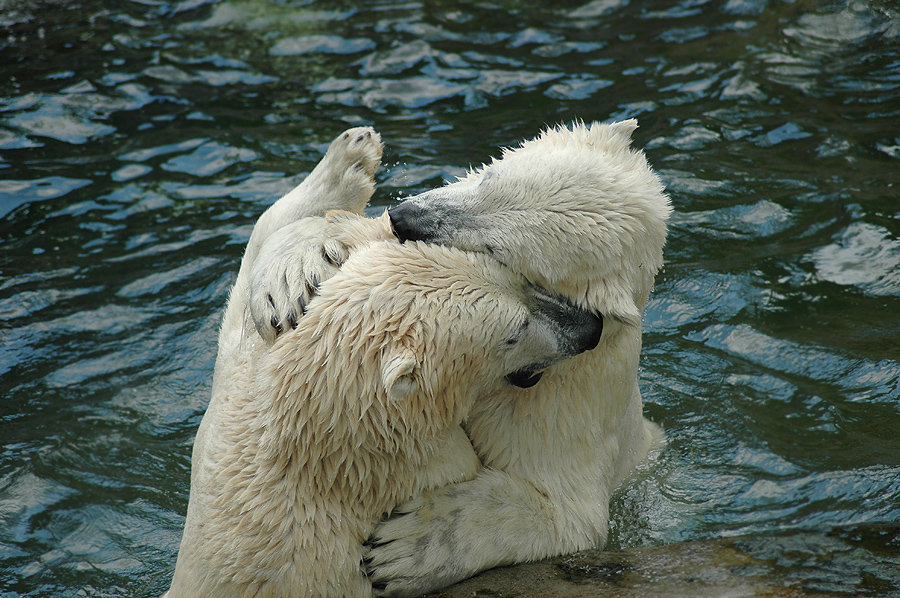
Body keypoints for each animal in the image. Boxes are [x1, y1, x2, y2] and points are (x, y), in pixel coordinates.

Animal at [163, 127, 604, 598]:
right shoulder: (422, 465)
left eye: (515, 275)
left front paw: (349, 158)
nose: (588, 327)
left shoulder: (228, 411)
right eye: (514, 332)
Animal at [250, 119, 672, 596]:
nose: (404, 217)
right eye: (491, 178)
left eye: (498, 249)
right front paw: (289, 280)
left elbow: (569, 514)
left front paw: (406, 548)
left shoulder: (574, 394)